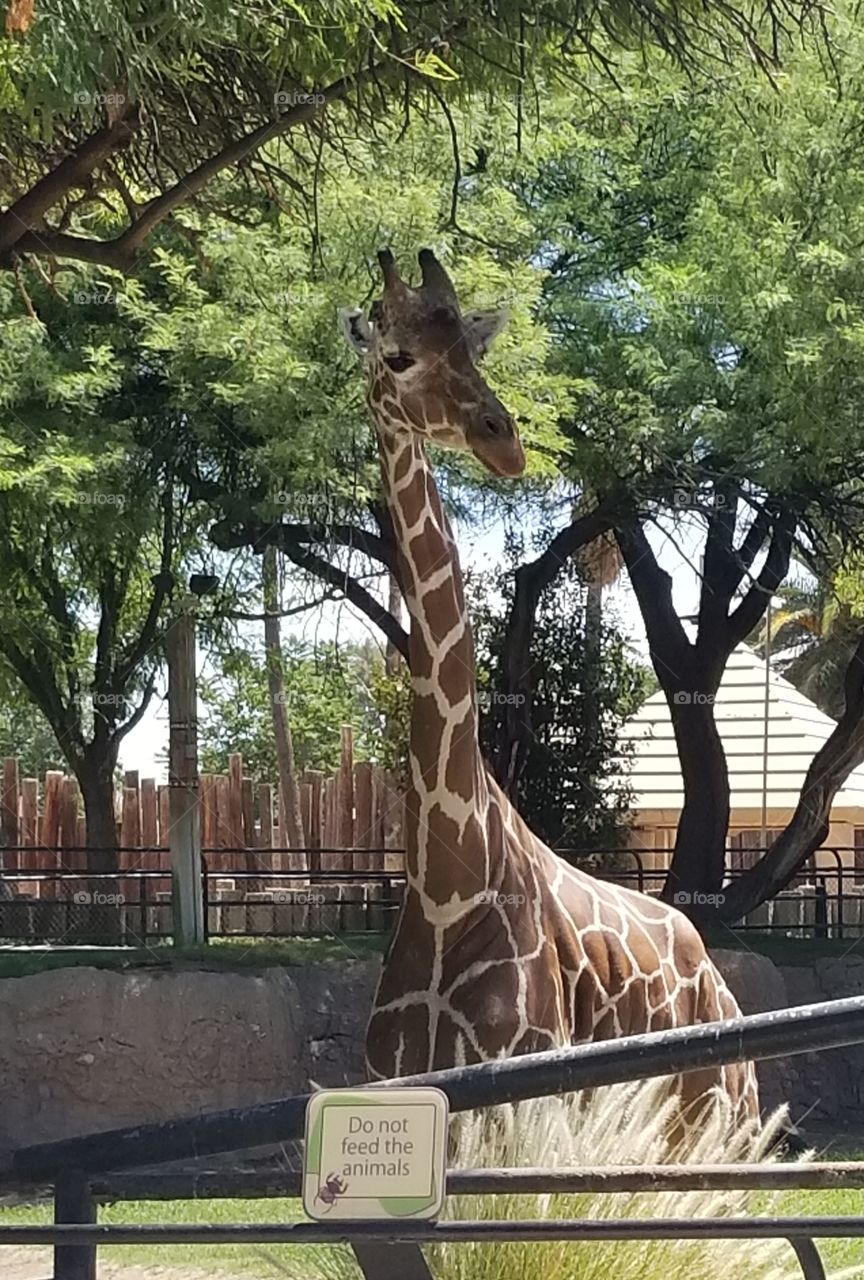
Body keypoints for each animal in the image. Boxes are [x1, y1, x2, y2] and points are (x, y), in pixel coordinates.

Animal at [340, 247, 759, 1131]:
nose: (504, 443)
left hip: (720, 1125)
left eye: (474, 348)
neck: (448, 889)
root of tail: (716, 979)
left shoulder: (523, 1101)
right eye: (398, 355)